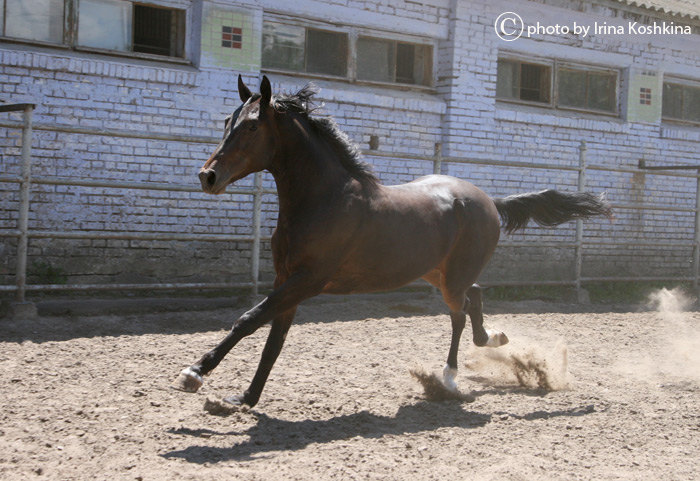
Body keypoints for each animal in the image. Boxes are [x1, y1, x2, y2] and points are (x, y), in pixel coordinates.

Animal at [171, 75, 612, 404]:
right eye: (226, 123)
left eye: (251, 126)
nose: (207, 176)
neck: (325, 199)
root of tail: (489, 200)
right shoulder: (286, 281)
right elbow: (273, 340)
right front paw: (244, 399)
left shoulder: (307, 281)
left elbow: (249, 320)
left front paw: (194, 373)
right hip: (437, 272)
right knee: (475, 295)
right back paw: (493, 339)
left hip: (449, 278)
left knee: (458, 312)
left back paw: (449, 378)